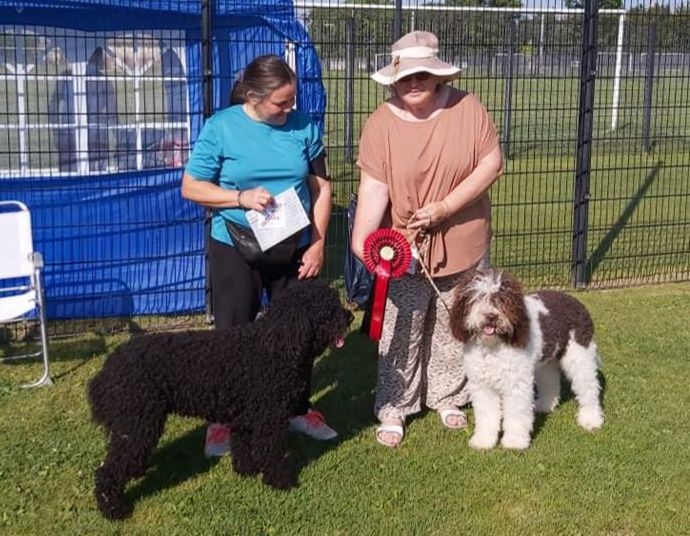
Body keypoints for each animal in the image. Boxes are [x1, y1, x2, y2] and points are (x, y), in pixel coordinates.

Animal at [88, 280, 352, 520]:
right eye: (328, 308)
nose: (349, 317)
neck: (274, 346)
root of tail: (107, 369)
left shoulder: (246, 417)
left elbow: (242, 446)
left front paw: (247, 470)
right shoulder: (270, 420)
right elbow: (272, 453)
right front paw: (280, 482)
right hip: (138, 422)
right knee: (107, 471)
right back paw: (113, 508)